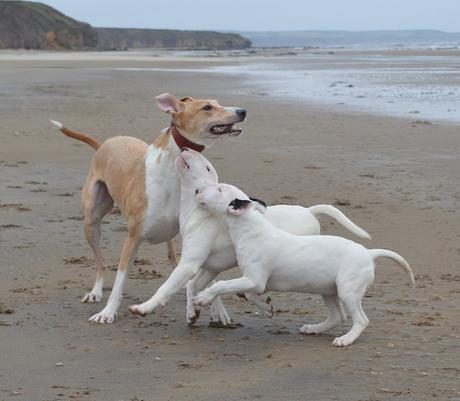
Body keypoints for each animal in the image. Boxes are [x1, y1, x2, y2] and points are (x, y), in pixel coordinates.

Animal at [50, 93, 246, 322]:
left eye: (217, 102)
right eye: (207, 107)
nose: (243, 111)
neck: (175, 174)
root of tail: (104, 144)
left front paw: (218, 311)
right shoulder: (133, 237)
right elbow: (120, 279)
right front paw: (108, 312)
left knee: (172, 256)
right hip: (91, 221)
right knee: (100, 261)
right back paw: (96, 291)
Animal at [128, 148, 370, 326]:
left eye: (207, 166)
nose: (187, 147)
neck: (199, 211)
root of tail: (309, 211)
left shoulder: (189, 264)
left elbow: (168, 287)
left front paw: (144, 308)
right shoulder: (209, 268)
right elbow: (192, 287)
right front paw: (192, 312)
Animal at [192, 183, 416, 346]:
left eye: (220, 189)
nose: (197, 190)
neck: (251, 229)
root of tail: (369, 253)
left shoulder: (255, 279)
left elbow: (224, 285)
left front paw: (203, 297)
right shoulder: (258, 281)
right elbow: (249, 294)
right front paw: (266, 307)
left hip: (348, 290)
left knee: (361, 319)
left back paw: (345, 339)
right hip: (328, 290)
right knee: (337, 316)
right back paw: (314, 329)